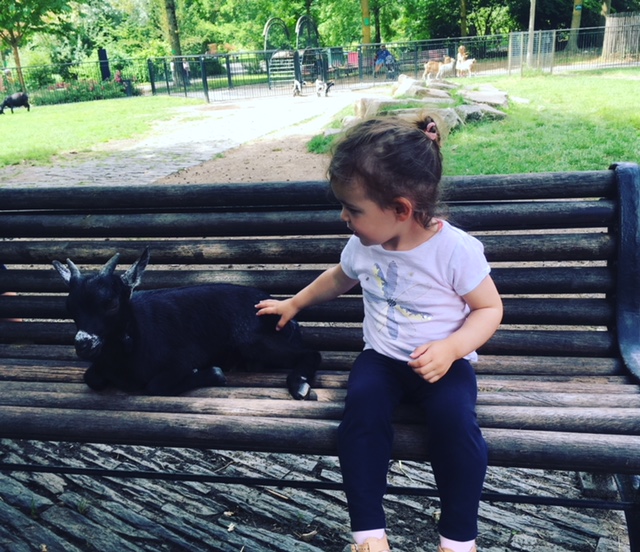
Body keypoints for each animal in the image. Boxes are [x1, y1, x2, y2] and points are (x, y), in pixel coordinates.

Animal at [53, 248, 321, 399]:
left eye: (110, 303)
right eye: (69, 307)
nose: (83, 344)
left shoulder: (182, 359)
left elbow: (155, 385)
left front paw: (212, 373)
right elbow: (91, 377)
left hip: (252, 340)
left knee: (311, 352)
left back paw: (299, 385)